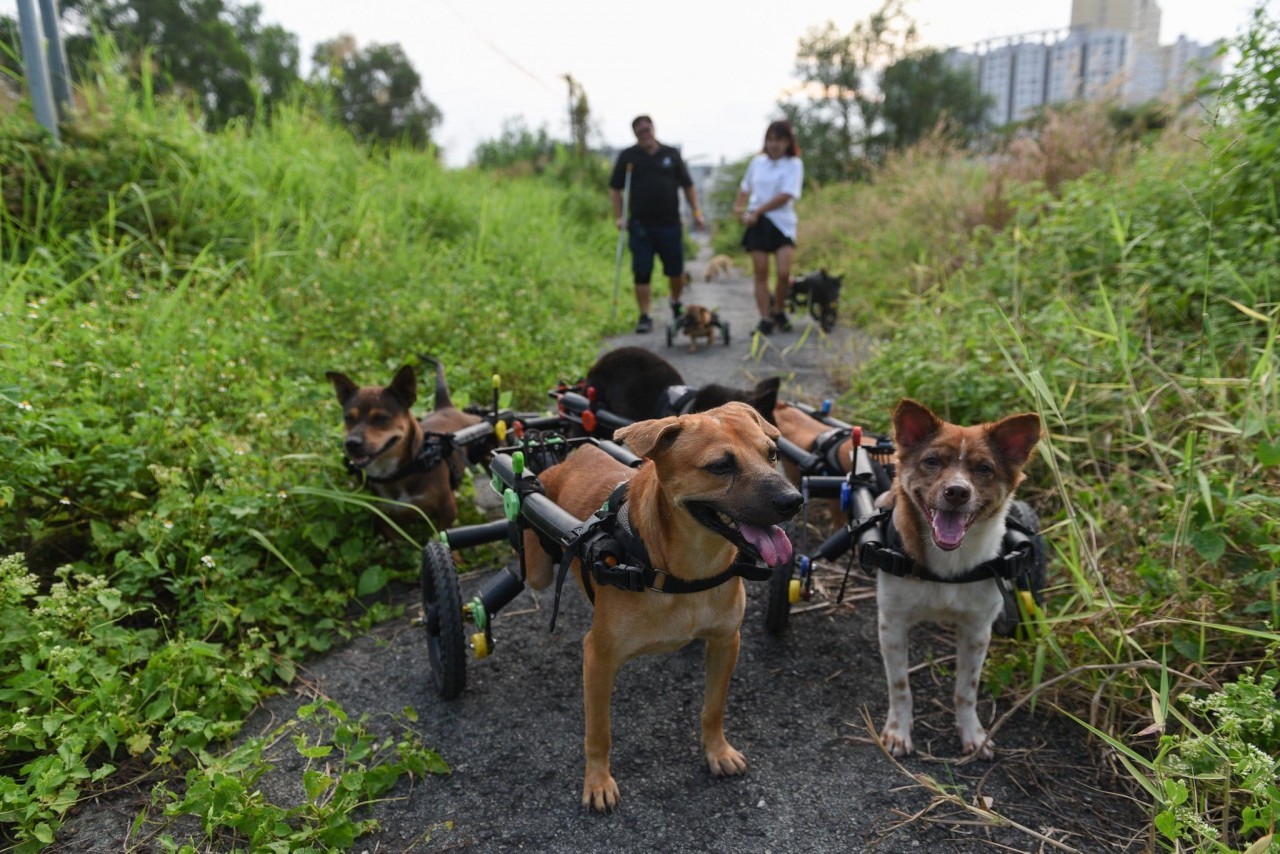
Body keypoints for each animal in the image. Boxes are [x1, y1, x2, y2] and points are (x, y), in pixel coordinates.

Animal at [325, 361, 481, 535]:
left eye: (381, 418)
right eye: (348, 418)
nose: (351, 443)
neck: (394, 473)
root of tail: (445, 407)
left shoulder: (447, 509)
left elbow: (442, 534)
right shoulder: (385, 518)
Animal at [519, 404, 798, 814]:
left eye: (773, 454)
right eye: (720, 466)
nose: (794, 500)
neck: (683, 571)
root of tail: (570, 456)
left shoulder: (726, 642)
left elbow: (713, 708)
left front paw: (717, 751)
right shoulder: (598, 659)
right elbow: (598, 732)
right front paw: (597, 780)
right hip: (537, 569)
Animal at [875, 396, 1044, 757]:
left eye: (984, 469)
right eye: (931, 461)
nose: (957, 492)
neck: (948, 565)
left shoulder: (977, 630)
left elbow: (967, 689)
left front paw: (973, 733)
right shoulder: (892, 624)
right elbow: (900, 685)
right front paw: (898, 730)